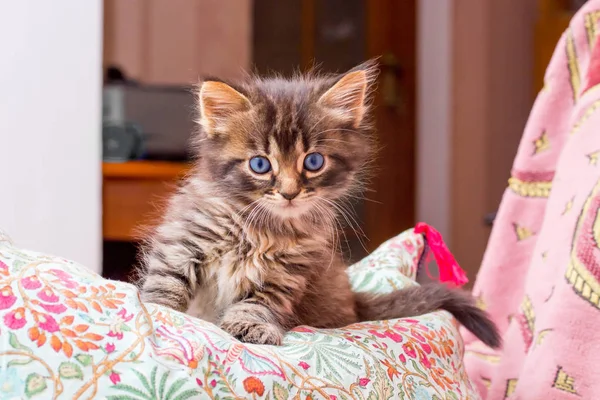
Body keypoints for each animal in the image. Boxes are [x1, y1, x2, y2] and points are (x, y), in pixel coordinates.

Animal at [139, 61, 502, 348]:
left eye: (313, 162)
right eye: (260, 164)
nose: (289, 193)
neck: (261, 229)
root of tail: (355, 302)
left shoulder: (285, 274)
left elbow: (258, 302)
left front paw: (250, 325)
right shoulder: (185, 242)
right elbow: (166, 284)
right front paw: (157, 312)